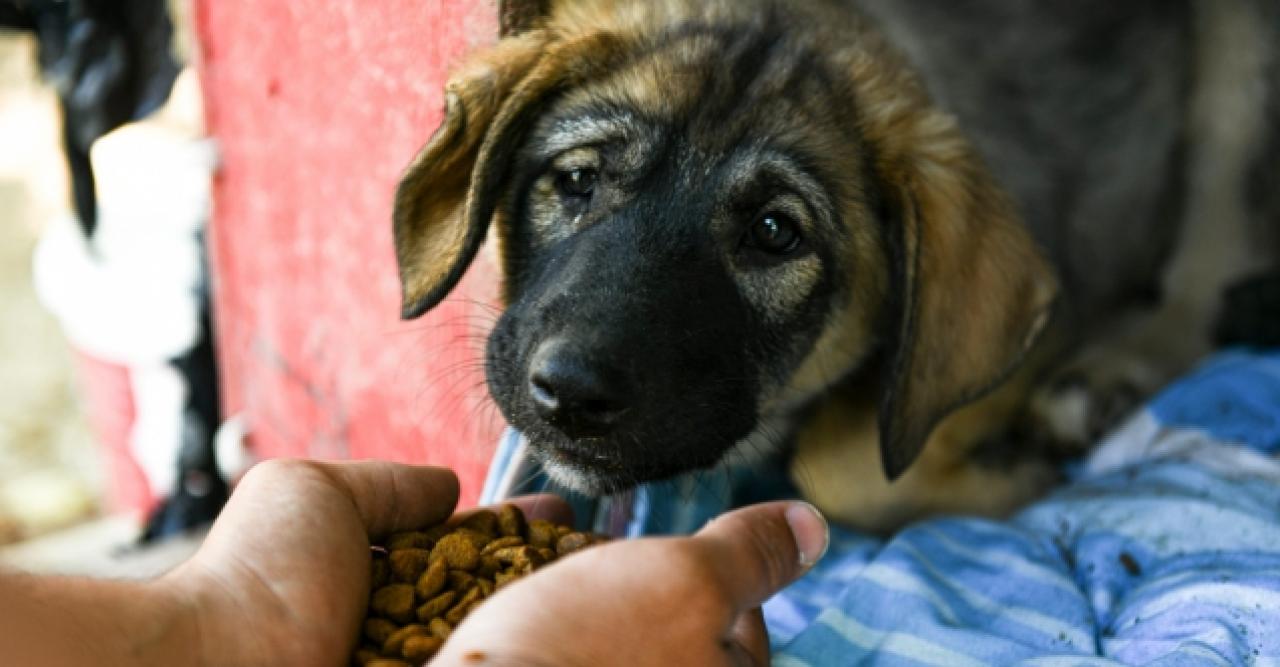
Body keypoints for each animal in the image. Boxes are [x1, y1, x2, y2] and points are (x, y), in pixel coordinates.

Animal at [391, 0, 1280, 530]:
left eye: (776, 233)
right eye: (577, 179)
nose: (569, 393)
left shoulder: (1062, 297)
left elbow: (847, 464)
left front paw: (1015, 473)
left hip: (1240, 65)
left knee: (1206, 272)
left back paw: (1105, 379)